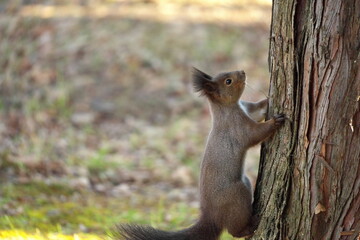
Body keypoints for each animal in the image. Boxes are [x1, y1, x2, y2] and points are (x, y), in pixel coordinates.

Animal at [116, 68, 286, 240]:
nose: (243, 72)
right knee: (234, 229)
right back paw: (249, 227)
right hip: (236, 195)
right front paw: (275, 121)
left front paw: (267, 99)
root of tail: (211, 217)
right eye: (228, 81)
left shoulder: (247, 108)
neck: (227, 108)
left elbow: (258, 110)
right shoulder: (238, 127)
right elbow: (255, 134)